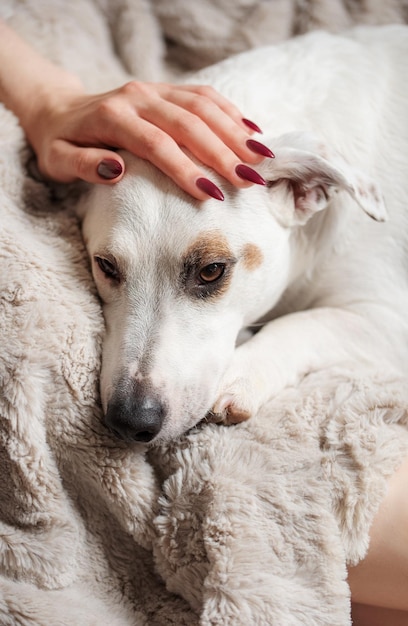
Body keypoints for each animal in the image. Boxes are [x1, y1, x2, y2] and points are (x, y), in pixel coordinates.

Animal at [78, 26, 406, 442]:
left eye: (212, 271)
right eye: (105, 266)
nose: (132, 420)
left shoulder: (389, 319)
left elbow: (307, 322)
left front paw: (243, 373)